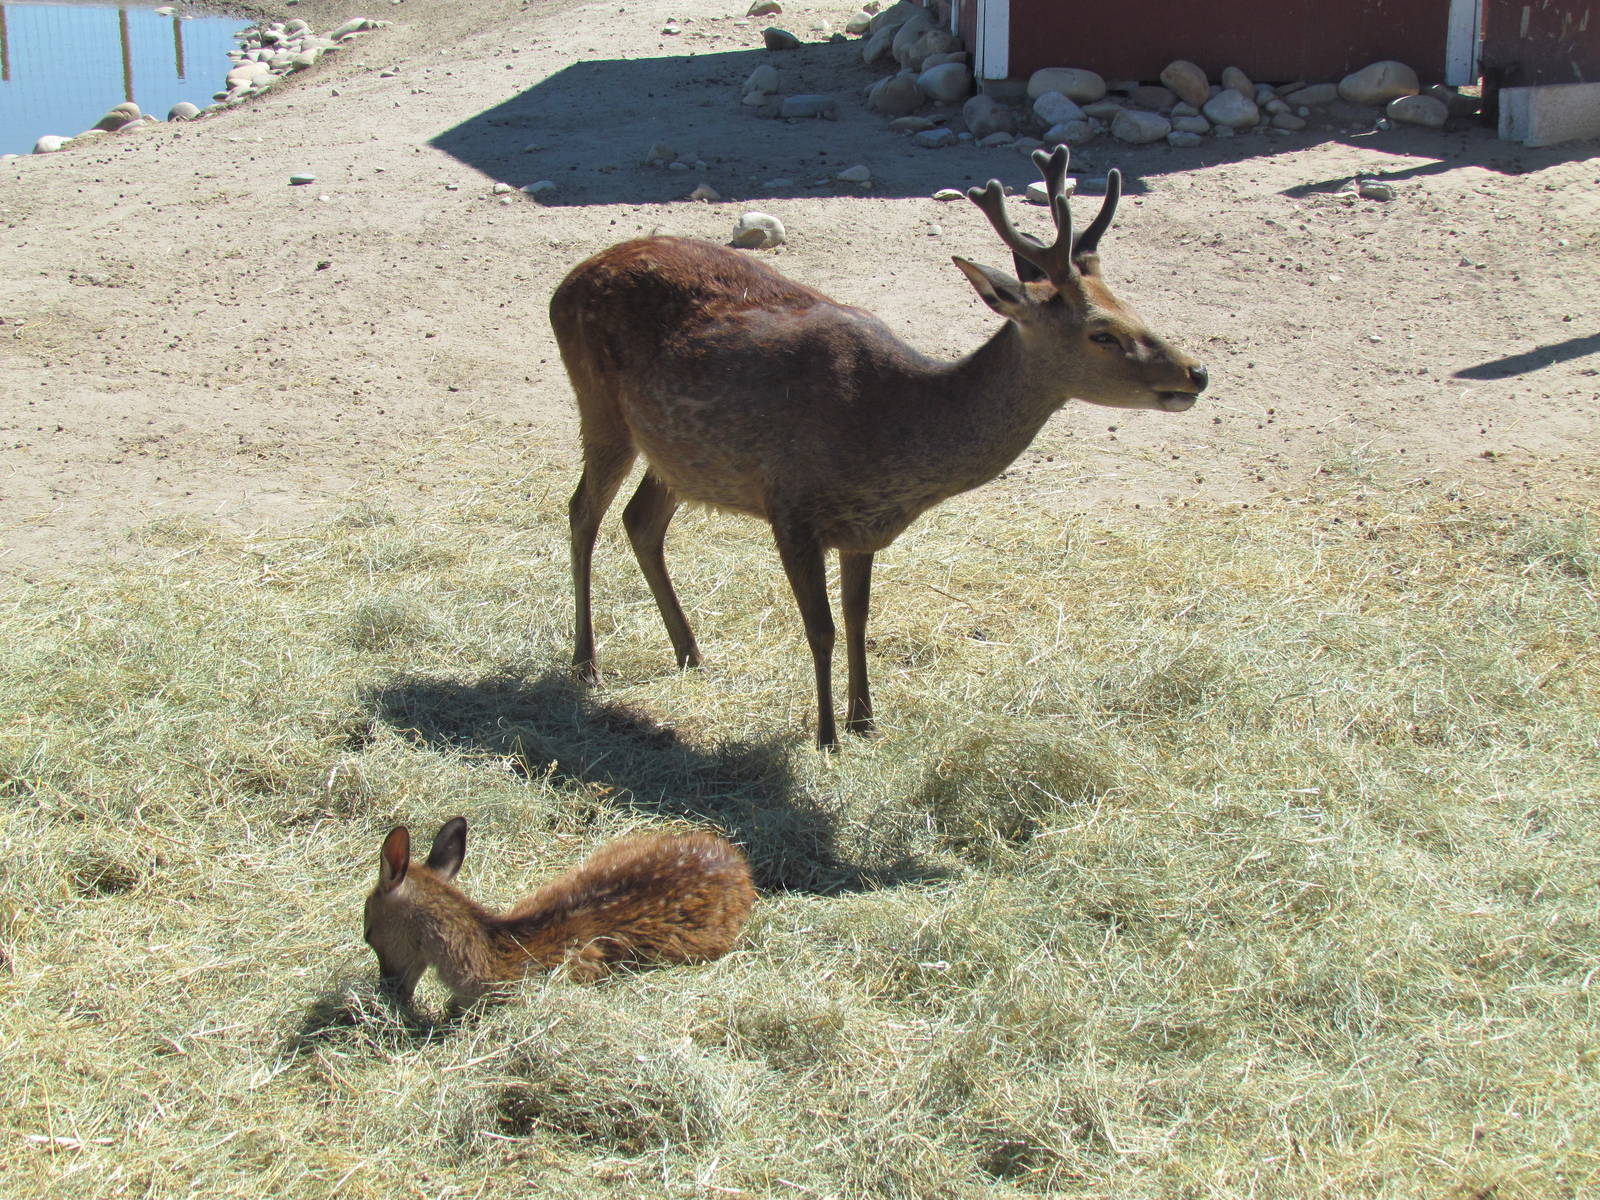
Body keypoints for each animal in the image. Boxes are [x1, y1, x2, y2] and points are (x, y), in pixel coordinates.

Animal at [552, 146, 1208, 749]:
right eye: (1103, 333)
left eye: (1132, 306)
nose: (1196, 372)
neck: (888, 425)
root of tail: (566, 283)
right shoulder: (791, 505)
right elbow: (820, 627)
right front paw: (825, 736)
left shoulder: (861, 527)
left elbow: (858, 617)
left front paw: (865, 720)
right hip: (599, 403)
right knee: (583, 510)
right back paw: (586, 661)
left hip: (678, 451)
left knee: (641, 519)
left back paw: (690, 652)